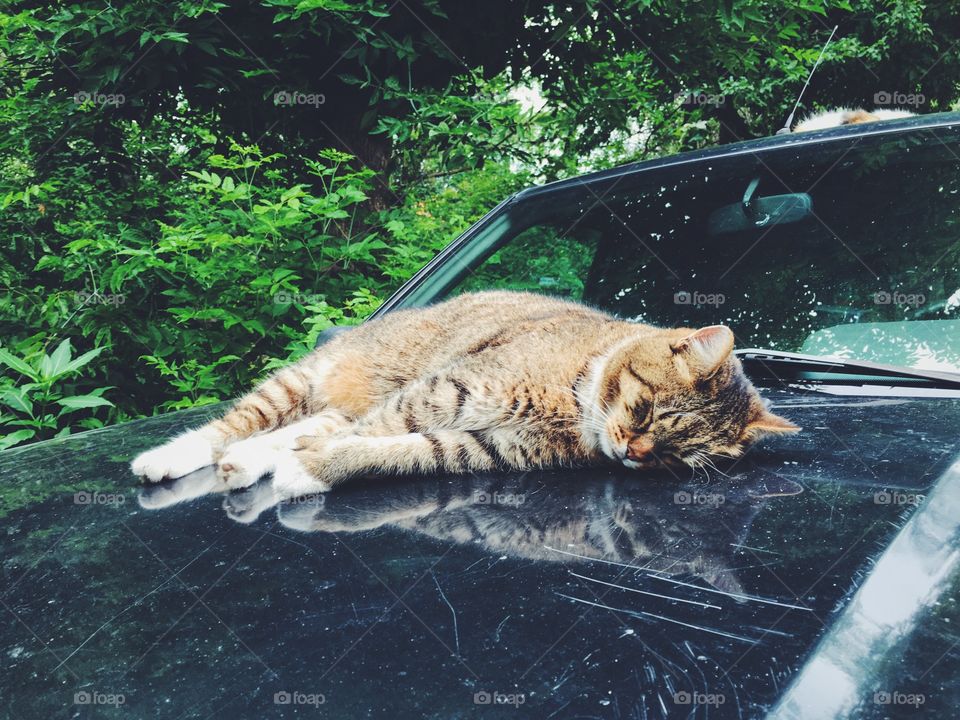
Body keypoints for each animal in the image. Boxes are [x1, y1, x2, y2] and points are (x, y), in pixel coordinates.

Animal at [131, 288, 800, 500]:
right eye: (642, 411)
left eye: (672, 458)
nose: (633, 455)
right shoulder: (442, 392)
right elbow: (365, 432)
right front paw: (301, 466)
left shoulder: (483, 444)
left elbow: (392, 452)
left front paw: (310, 470)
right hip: (304, 380)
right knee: (238, 424)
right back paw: (172, 458)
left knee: (301, 428)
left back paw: (250, 462)